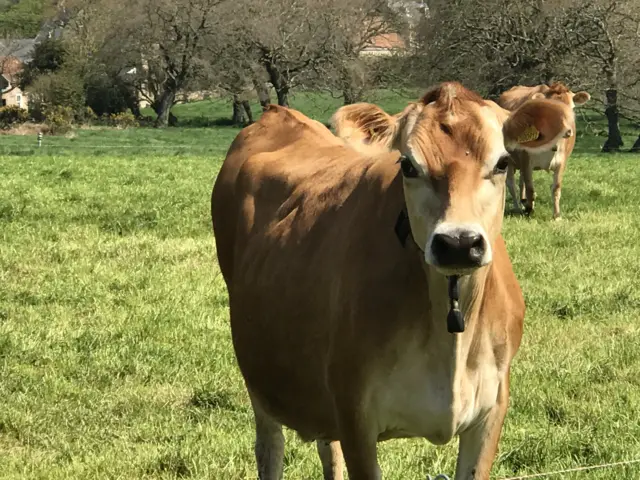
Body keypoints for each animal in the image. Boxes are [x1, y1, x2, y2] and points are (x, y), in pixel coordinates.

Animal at [211, 81, 575, 480]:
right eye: (408, 165)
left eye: (502, 162)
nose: (458, 243)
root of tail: (278, 113)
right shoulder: (355, 414)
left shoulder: (491, 410)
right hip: (259, 376)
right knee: (270, 447)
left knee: (327, 446)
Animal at [497, 81, 591, 219]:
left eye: (571, 108)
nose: (568, 131)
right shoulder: (526, 161)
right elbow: (530, 188)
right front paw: (530, 211)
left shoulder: (561, 162)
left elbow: (556, 188)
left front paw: (557, 215)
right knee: (511, 184)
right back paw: (518, 207)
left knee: (520, 182)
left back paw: (523, 201)